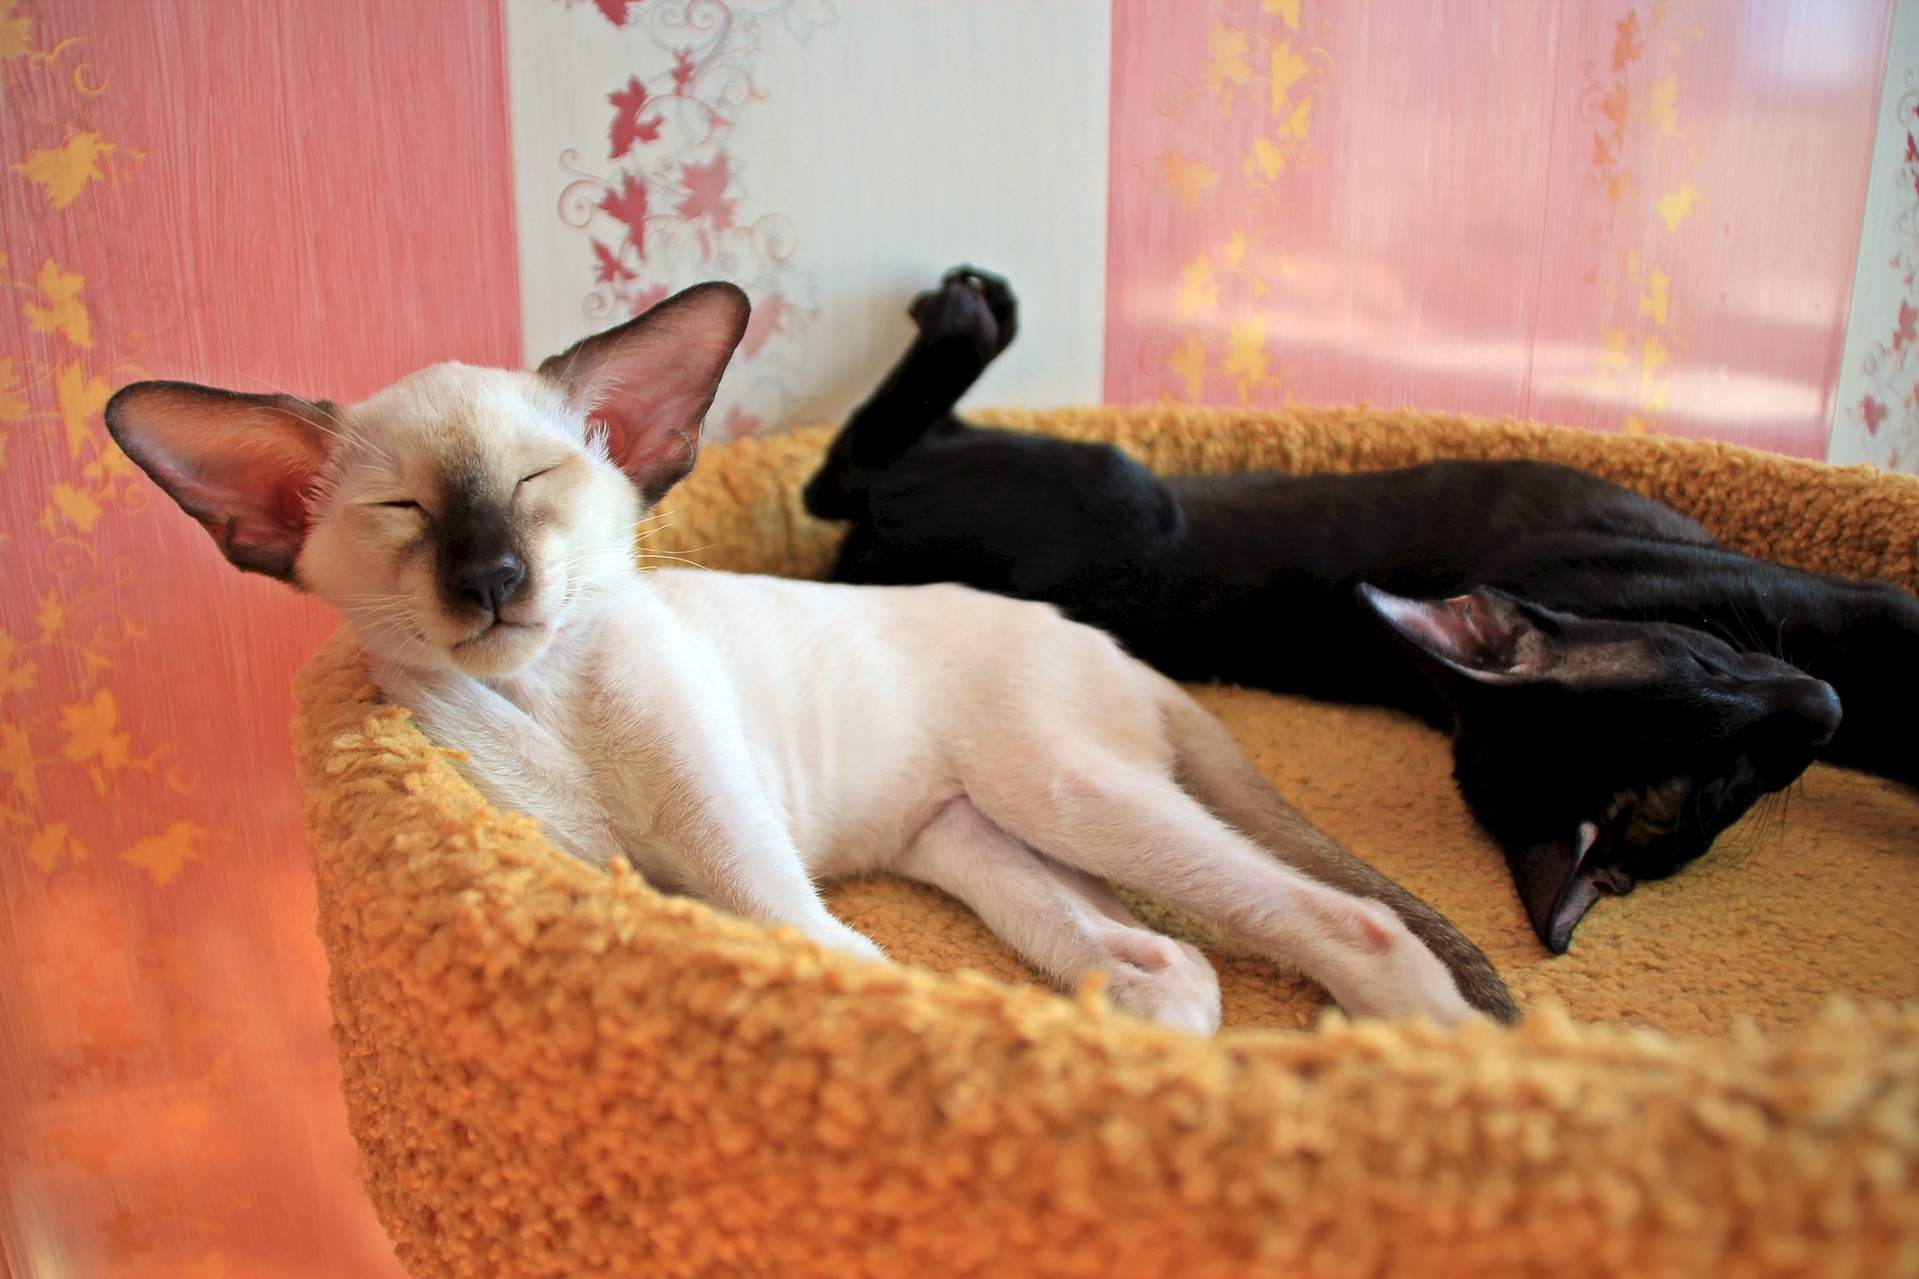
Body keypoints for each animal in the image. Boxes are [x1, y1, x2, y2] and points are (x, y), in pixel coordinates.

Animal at [104, 281, 1518, 1032]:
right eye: (405, 513)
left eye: (532, 486)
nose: (493, 581)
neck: (544, 697)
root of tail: (1102, 644)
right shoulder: (589, 863)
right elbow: (783, 943)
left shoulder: (723, 835)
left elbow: (817, 950)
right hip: (981, 837)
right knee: (1174, 963)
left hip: (1059, 791)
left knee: (1341, 919)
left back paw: (1432, 1067)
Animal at [805, 266, 1919, 953]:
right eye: (1696, 668)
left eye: (1719, 790)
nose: (1817, 712)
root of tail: (863, 570)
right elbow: (1895, 615)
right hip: (1112, 479)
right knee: (844, 464)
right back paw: (969, 311)